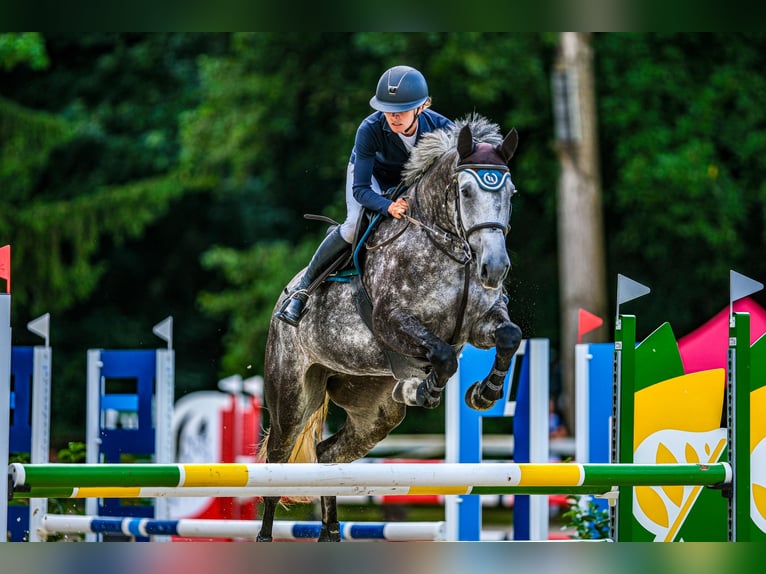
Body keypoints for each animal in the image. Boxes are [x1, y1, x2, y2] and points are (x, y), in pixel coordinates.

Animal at [257, 114, 522, 542]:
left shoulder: (482, 323)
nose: (494, 269)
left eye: (510, 193)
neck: (451, 249)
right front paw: (425, 389)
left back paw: (330, 533)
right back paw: (265, 536)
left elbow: (509, 336)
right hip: (291, 397)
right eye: (465, 191)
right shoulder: (391, 322)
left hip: (375, 411)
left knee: (327, 455)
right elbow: (443, 355)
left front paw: (484, 393)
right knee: (276, 463)